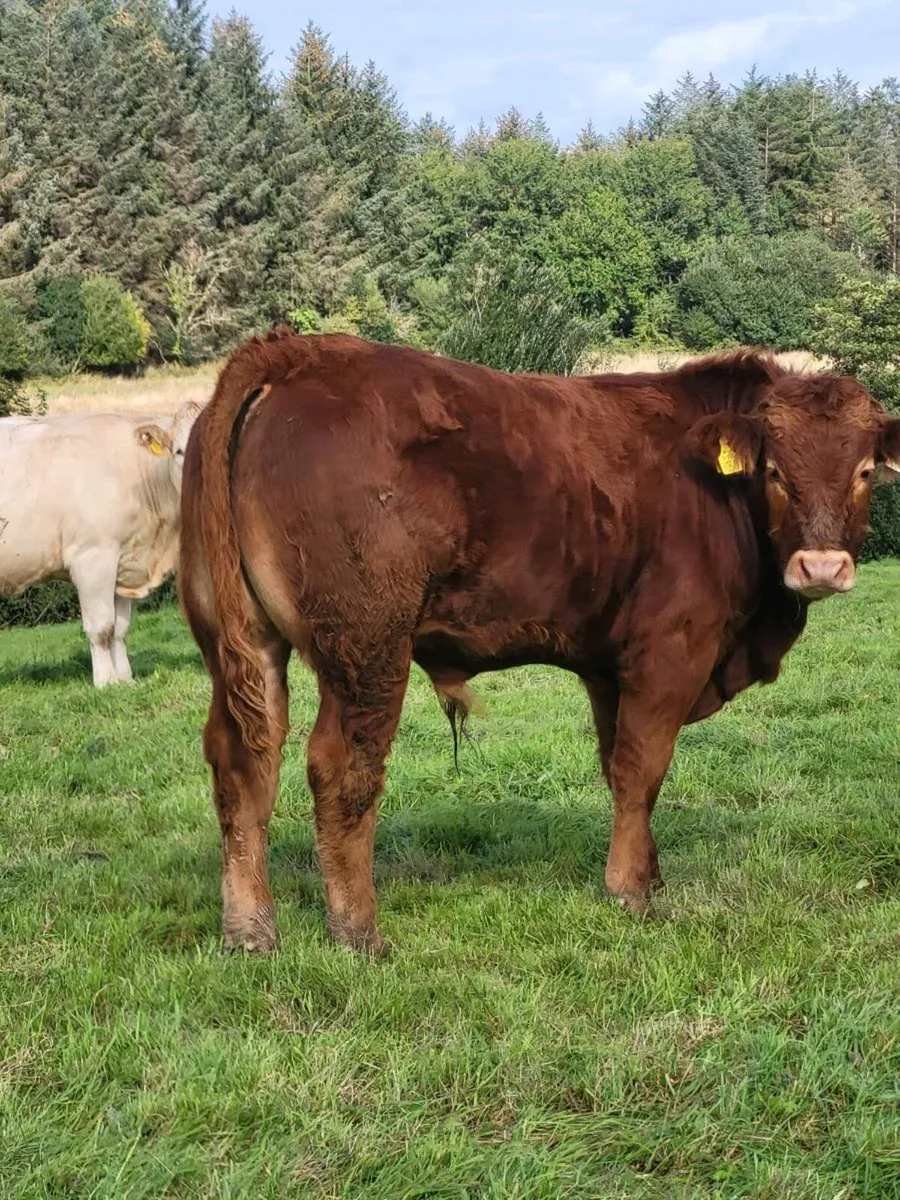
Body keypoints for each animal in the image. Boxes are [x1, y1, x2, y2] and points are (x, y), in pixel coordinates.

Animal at [0, 399, 202, 687]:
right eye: (179, 451)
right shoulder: (93, 558)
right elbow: (102, 627)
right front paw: (106, 682)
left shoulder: (124, 560)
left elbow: (120, 629)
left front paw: (125, 680)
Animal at [178, 329, 900, 955]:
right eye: (775, 472)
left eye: (866, 471)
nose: (822, 567)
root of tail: (297, 351)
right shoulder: (671, 649)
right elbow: (643, 766)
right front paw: (630, 892)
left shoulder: (610, 666)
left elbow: (620, 768)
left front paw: (650, 873)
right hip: (367, 647)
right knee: (341, 767)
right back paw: (358, 931)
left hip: (240, 642)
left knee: (243, 758)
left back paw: (250, 930)